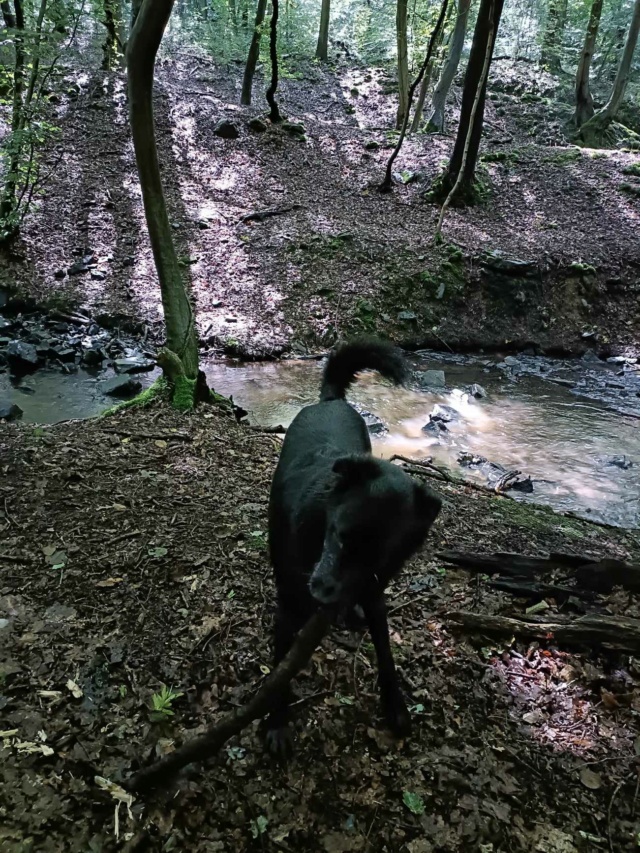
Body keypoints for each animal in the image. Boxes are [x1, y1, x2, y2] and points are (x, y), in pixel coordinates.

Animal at [264, 338, 440, 752]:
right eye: (339, 535)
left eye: (376, 560)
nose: (323, 592)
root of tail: (330, 400)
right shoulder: (290, 602)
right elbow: (280, 666)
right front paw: (277, 720)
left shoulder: (374, 590)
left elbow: (386, 651)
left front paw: (394, 705)